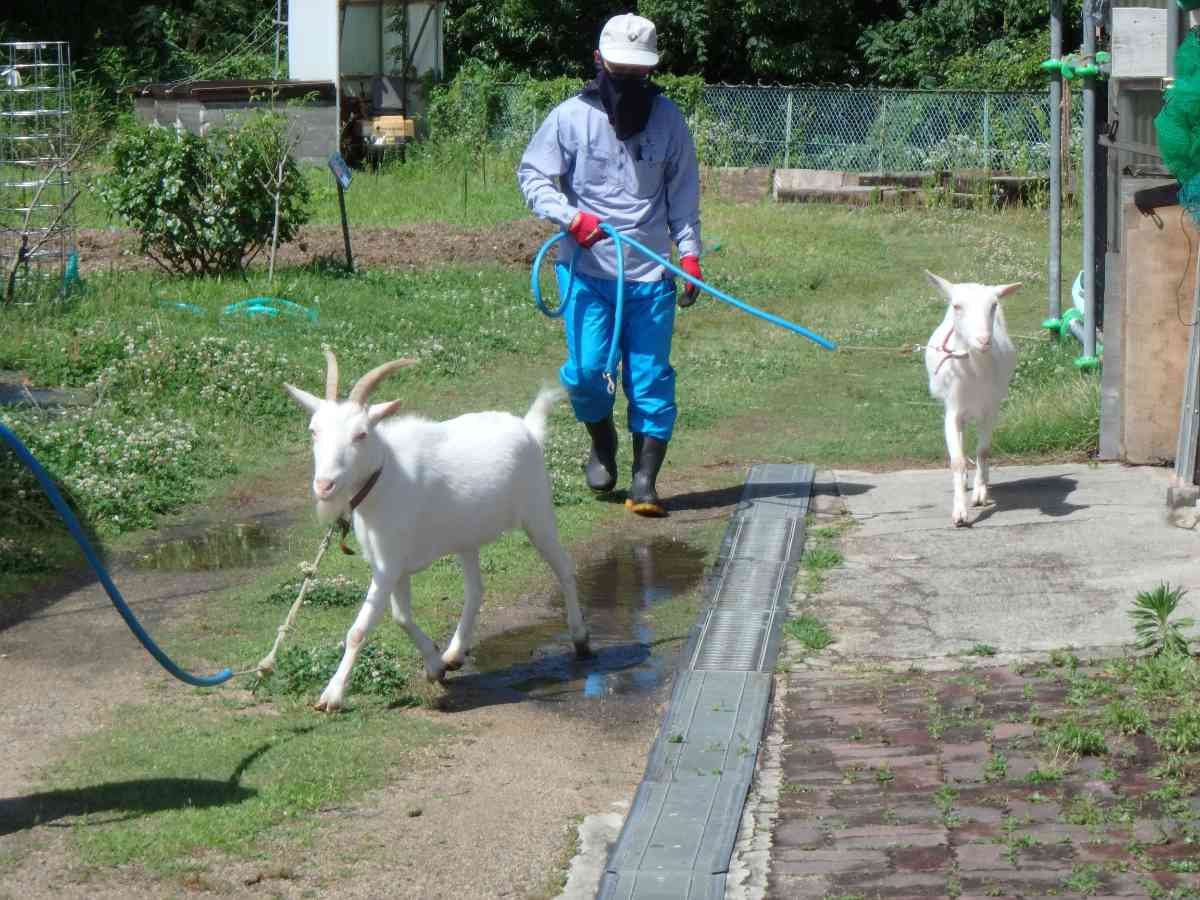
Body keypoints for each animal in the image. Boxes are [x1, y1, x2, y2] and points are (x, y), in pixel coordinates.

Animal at [286, 352, 595, 710]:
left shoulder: (388, 566)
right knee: (475, 589)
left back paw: (580, 639)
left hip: (538, 515)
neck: (386, 478)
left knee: (563, 568)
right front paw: (435, 665)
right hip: (467, 538)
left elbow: (360, 629)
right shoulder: (392, 566)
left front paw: (331, 695)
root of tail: (527, 427)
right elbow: (400, 616)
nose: (324, 486)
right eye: (314, 431)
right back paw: (454, 653)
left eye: (361, 434)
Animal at [921, 273, 1017, 528]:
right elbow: (956, 460)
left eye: (993, 305)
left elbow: (983, 451)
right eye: (957, 306)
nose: (983, 340)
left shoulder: (990, 409)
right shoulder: (952, 410)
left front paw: (980, 494)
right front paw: (960, 514)